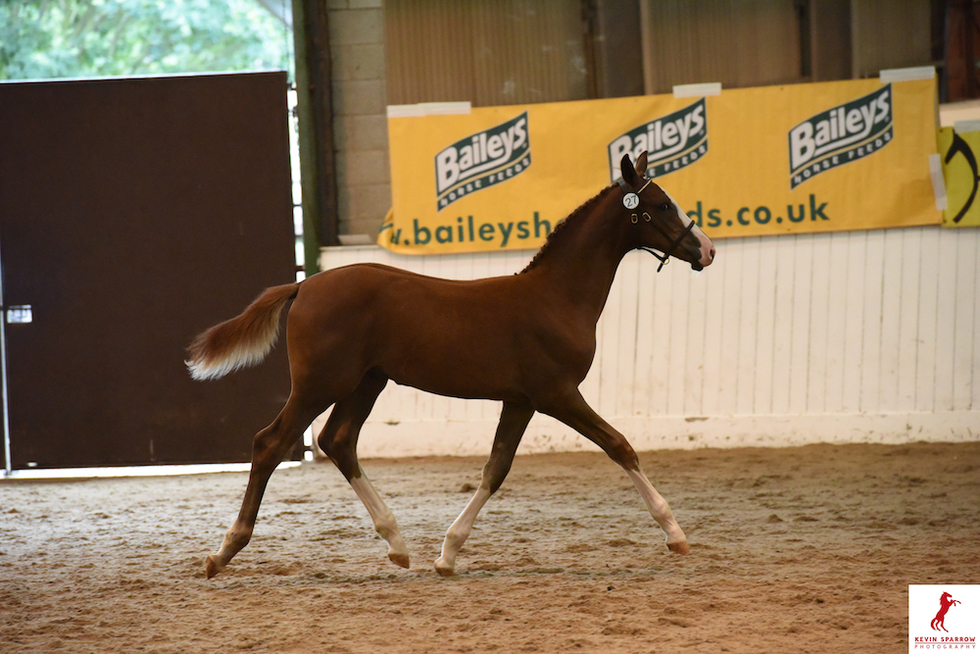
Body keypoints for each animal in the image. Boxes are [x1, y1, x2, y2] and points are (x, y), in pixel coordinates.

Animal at [186, 151, 716, 579]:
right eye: (662, 205)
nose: (707, 250)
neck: (556, 297)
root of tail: (303, 285)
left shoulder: (520, 401)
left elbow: (495, 469)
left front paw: (447, 554)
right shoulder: (557, 394)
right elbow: (619, 445)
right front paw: (675, 533)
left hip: (366, 383)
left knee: (337, 441)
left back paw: (398, 544)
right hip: (321, 384)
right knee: (271, 443)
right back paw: (224, 552)